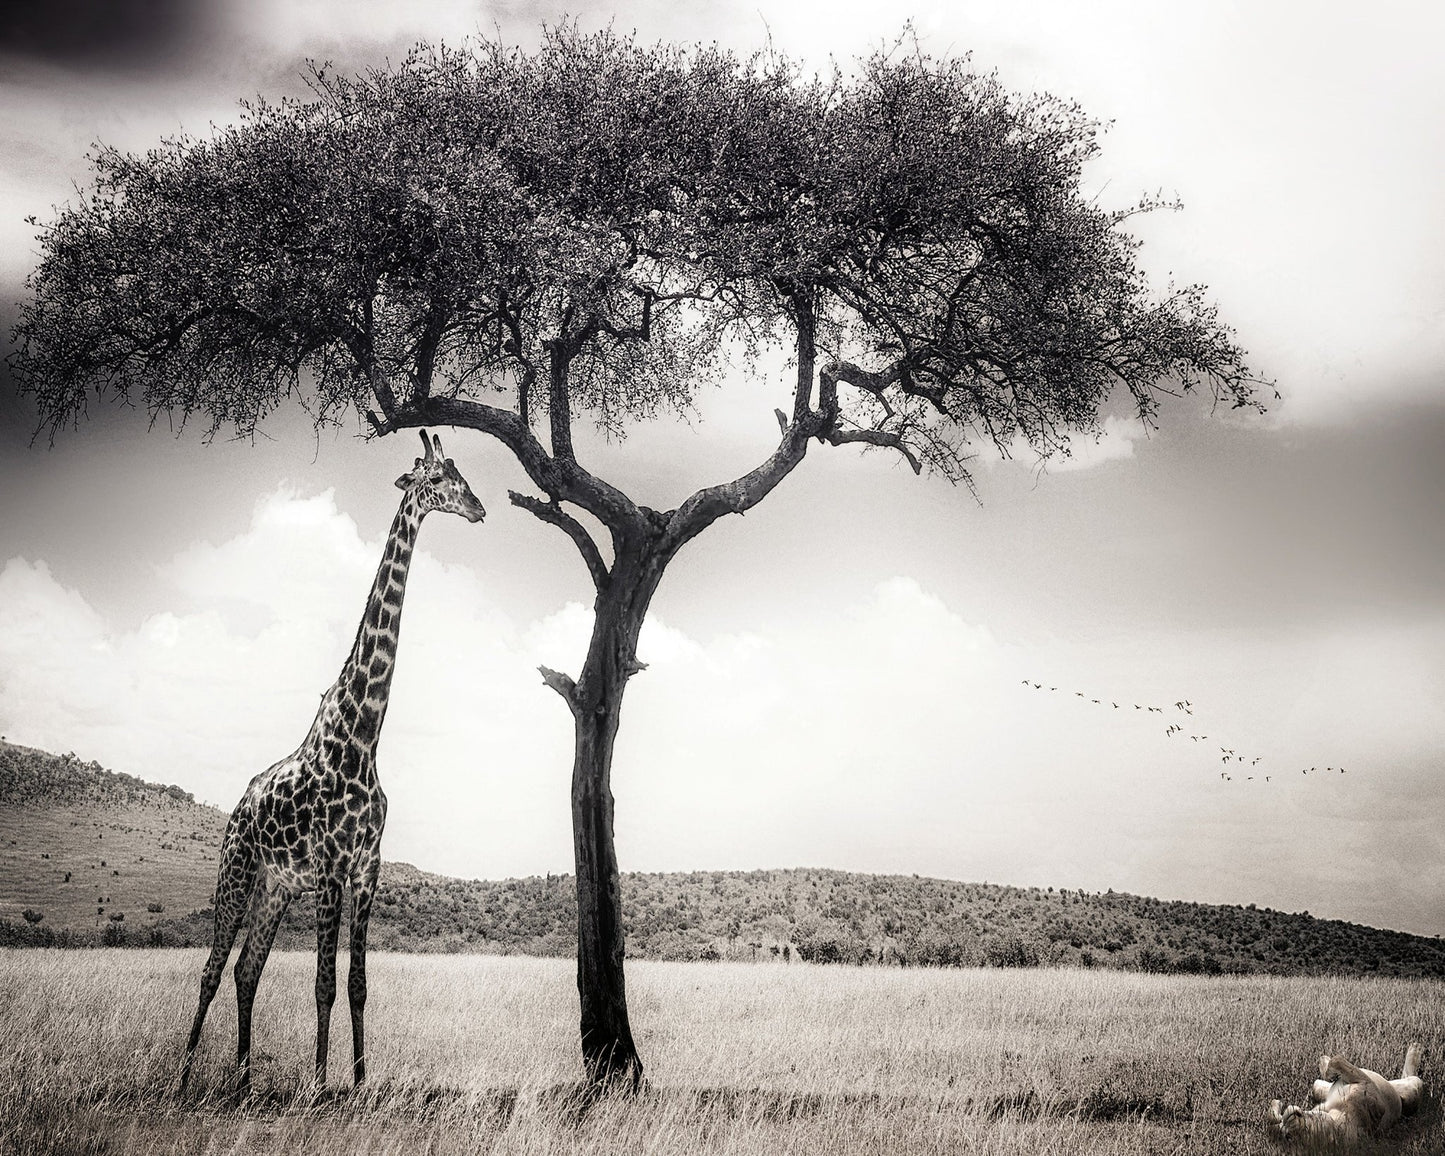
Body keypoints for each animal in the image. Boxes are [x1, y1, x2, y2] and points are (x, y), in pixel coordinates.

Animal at [179, 430, 485, 1095]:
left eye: (462, 474)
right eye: (436, 480)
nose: (478, 509)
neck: (363, 738)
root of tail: (237, 807)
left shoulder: (366, 869)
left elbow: (357, 984)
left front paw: (361, 1081)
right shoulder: (327, 870)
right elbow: (322, 983)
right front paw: (320, 1085)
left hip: (274, 889)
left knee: (245, 970)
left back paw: (243, 1079)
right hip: (237, 872)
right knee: (212, 970)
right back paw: (184, 1078)